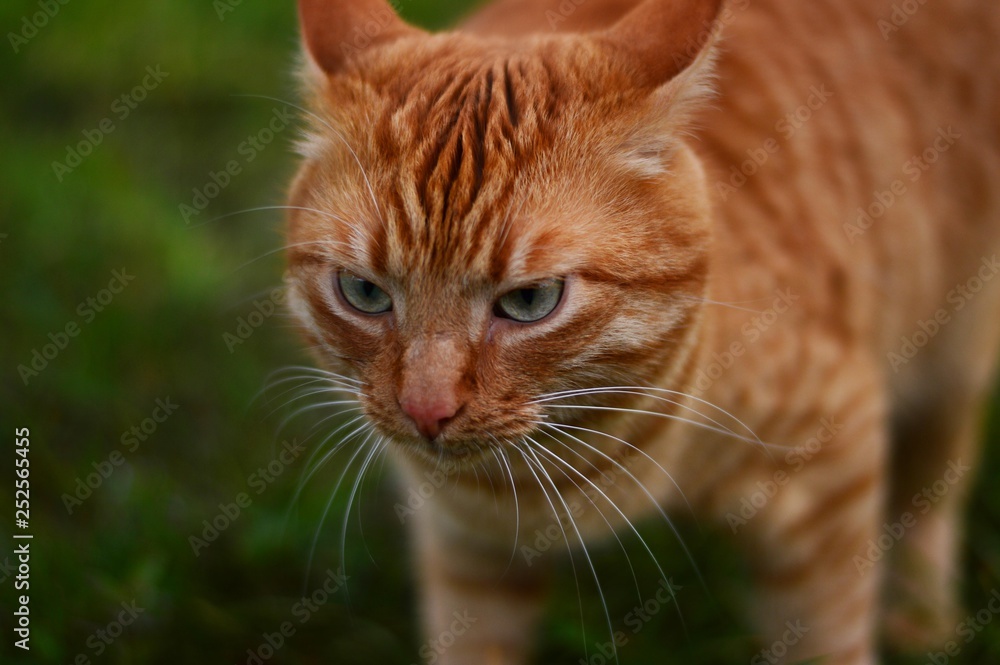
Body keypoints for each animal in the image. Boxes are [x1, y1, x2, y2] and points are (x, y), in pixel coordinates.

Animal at [284, 0, 1000, 660]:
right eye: (363, 292)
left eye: (531, 300)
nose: (425, 410)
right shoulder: (467, 552)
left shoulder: (831, 480)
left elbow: (832, 635)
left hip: (953, 347)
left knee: (938, 484)